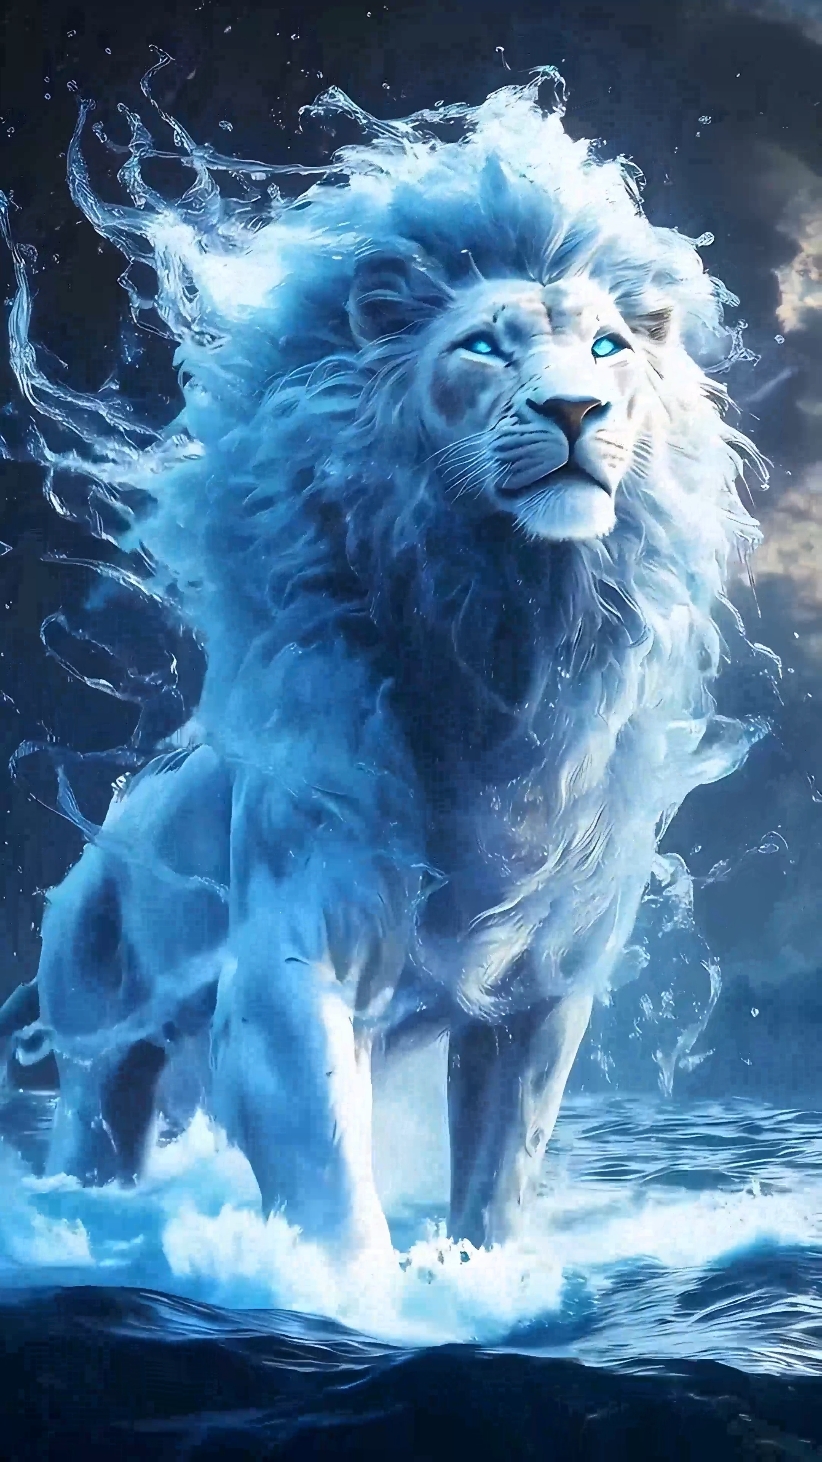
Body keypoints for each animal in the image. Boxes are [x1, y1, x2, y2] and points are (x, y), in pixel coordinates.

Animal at [0, 77, 765, 1254]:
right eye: (483, 348)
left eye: (604, 350)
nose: (572, 411)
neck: (503, 641)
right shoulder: (289, 962)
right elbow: (328, 1179)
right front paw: (358, 1291)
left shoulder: (544, 993)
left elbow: (502, 1167)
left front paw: (479, 1275)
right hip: (95, 1046)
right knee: (93, 1132)